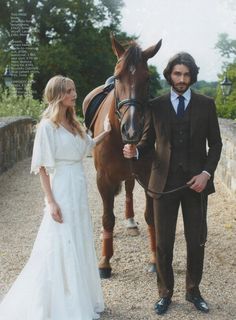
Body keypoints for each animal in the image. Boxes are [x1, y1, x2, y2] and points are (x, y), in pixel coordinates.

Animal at [82, 33, 161, 276]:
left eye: (148, 79)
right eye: (118, 77)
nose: (132, 130)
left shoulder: (148, 176)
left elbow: (150, 217)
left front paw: (155, 259)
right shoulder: (103, 179)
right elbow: (108, 218)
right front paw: (105, 262)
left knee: (128, 190)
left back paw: (131, 222)